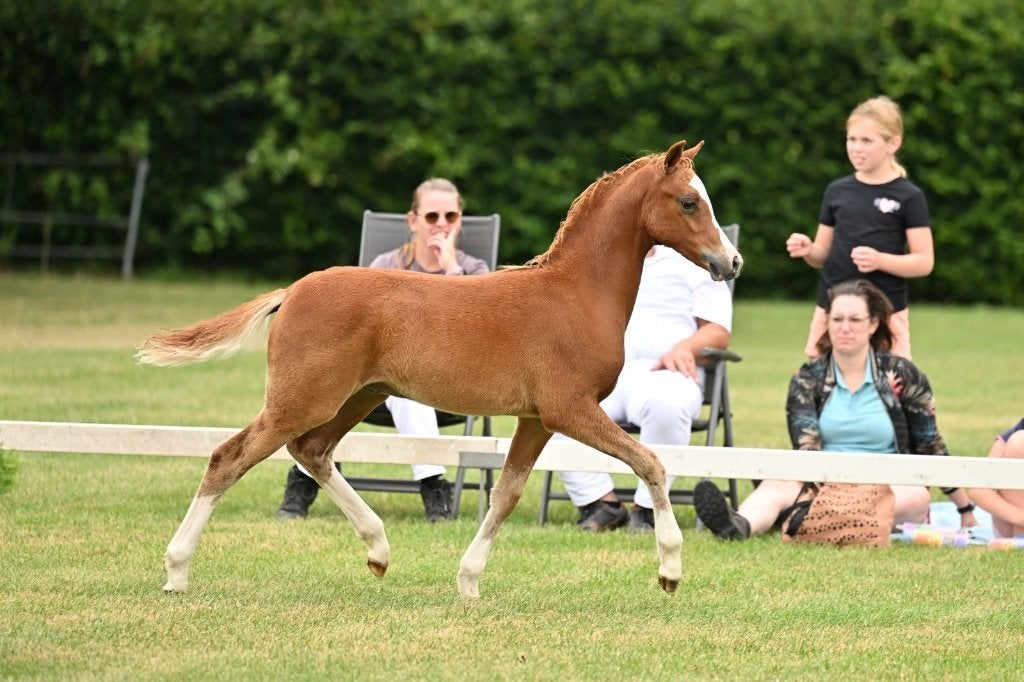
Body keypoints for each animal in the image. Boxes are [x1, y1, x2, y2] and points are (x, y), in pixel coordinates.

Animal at [138, 140, 743, 598]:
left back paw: (379, 552)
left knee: (312, 452)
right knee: (230, 456)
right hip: (304, 399)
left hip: (357, 396)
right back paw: (176, 571)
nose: (732, 262)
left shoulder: (535, 420)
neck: (576, 294)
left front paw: (468, 582)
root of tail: (291, 292)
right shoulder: (569, 410)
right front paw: (670, 571)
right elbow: (652, 463)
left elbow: (506, 495)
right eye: (689, 201)